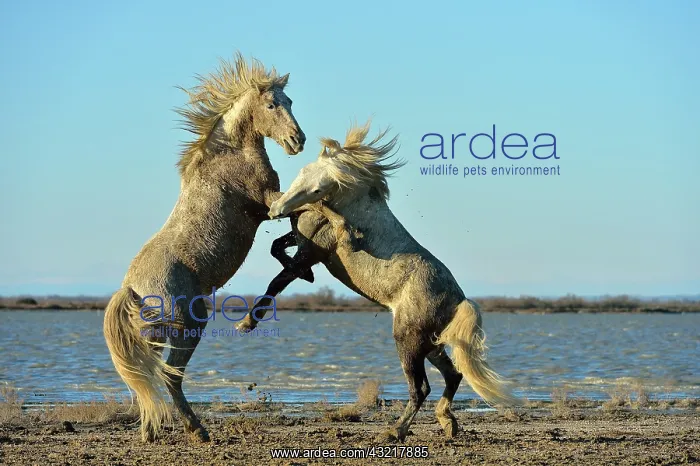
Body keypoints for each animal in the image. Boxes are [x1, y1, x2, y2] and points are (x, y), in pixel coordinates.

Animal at [103, 52, 306, 443]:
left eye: (290, 101)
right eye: (271, 105)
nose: (297, 140)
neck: (231, 154)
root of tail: (130, 288)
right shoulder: (267, 202)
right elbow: (301, 210)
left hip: (157, 337)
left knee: (149, 378)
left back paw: (151, 431)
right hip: (188, 325)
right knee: (169, 375)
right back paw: (196, 431)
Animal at [237, 121, 519, 441]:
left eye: (319, 186)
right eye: (302, 171)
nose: (277, 209)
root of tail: (458, 300)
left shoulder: (311, 252)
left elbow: (277, 282)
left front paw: (248, 322)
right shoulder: (303, 244)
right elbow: (276, 248)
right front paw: (305, 279)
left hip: (408, 342)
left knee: (421, 388)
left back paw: (396, 431)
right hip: (431, 343)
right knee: (453, 374)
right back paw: (447, 423)